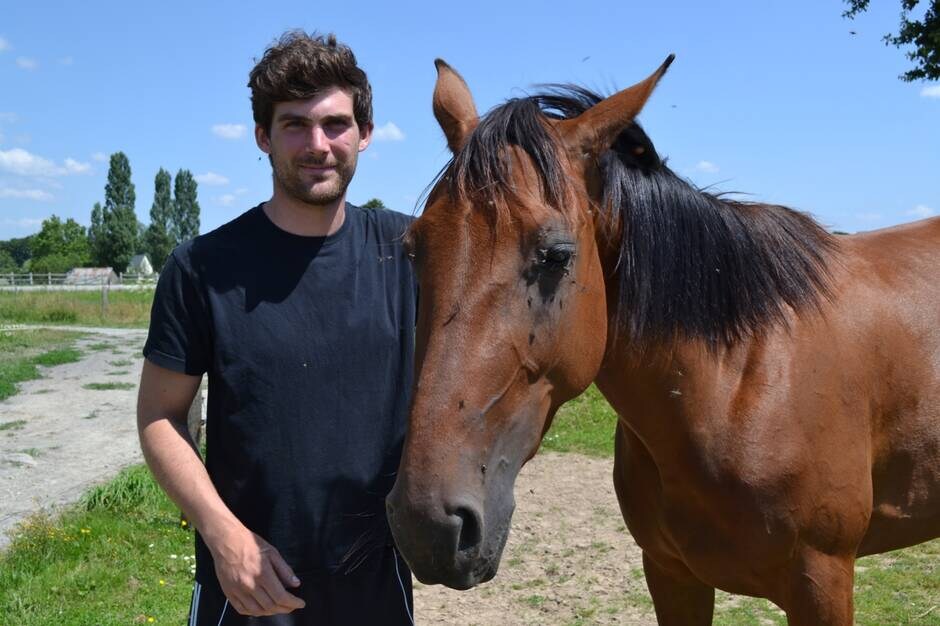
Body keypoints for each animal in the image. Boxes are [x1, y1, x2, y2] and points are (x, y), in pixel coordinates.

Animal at [384, 56, 940, 620]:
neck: (737, 380)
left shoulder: (822, 582)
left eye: (556, 255)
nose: (427, 524)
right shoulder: (671, 574)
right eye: (413, 248)